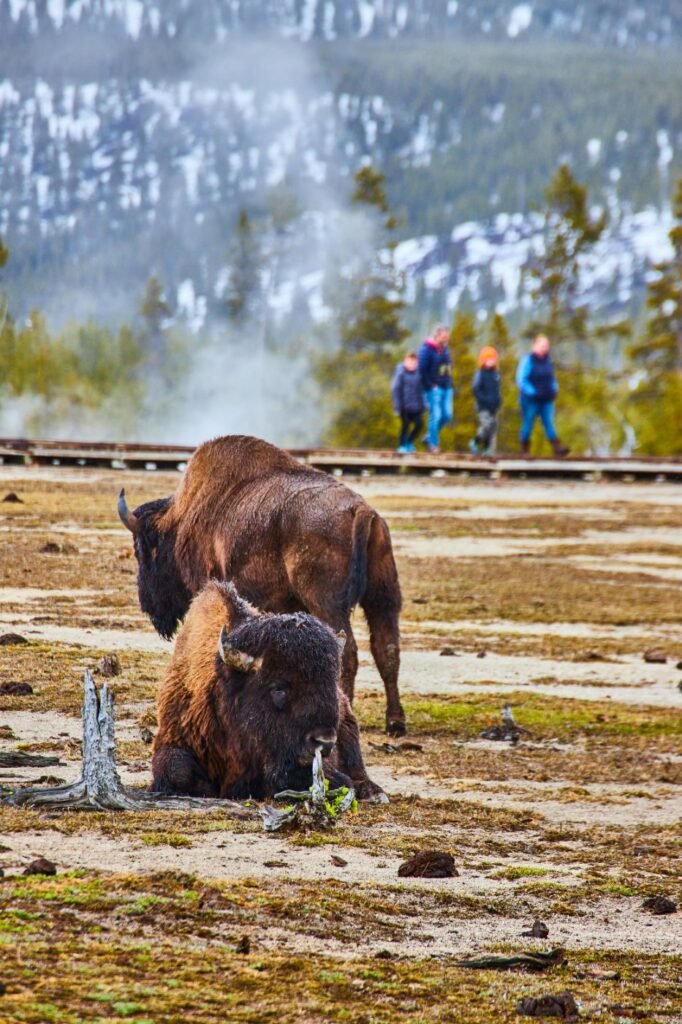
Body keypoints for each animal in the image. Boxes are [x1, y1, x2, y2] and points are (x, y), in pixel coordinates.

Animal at [119, 435, 404, 734]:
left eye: (141, 550)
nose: (147, 604)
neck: (183, 519)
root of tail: (360, 511)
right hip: (383, 598)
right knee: (387, 648)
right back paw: (395, 722)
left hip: (329, 605)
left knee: (348, 652)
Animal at [152, 579, 386, 802]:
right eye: (278, 688)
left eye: (331, 683)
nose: (324, 741)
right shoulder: (172, 740)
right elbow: (177, 770)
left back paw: (373, 792)